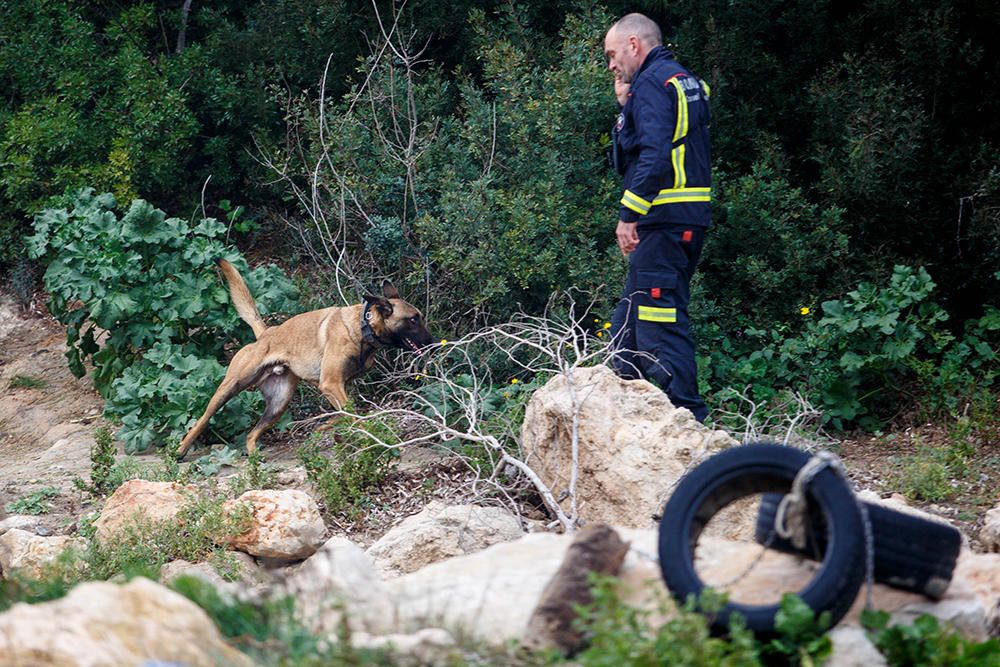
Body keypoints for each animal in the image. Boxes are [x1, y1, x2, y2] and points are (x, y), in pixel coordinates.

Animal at [176, 260, 434, 460]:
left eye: (421, 317)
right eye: (413, 320)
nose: (433, 341)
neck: (362, 328)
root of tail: (265, 334)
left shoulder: (339, 386)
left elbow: (347, 411)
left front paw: (331, 428)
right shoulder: (330, 384)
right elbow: (354, 414)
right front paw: (370, 435)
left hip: (278, 403)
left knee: (251, 433)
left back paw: (255, 457)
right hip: (231, 387)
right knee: (202, 419)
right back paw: (180, 450)